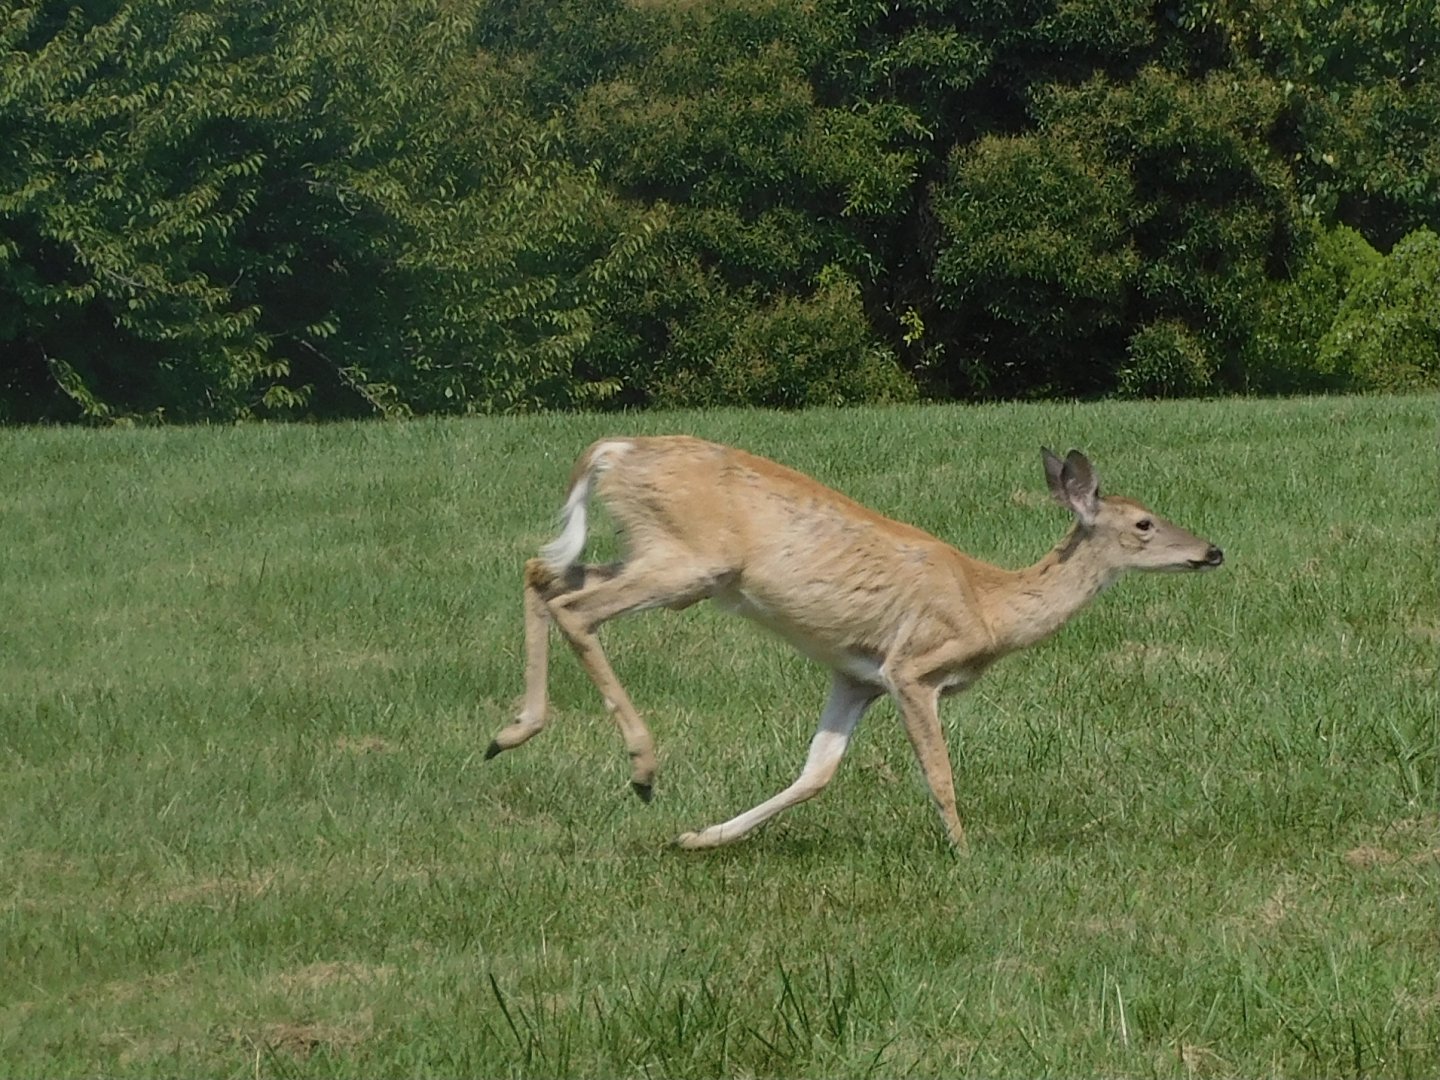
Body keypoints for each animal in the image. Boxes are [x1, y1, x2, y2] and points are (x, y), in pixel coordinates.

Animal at [485, 436, 1224, 851]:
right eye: (1144, 522)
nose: (1212, 551)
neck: (990, 604)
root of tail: (613, 450)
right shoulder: (912, 666)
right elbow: (938, 772)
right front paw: (966, 854)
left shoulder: (857, 675)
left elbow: (817, 771)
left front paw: (699, 837)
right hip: (689, 562)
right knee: (577, 608)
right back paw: (640, 767)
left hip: (658, 555)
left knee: (542, 573)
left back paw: (509, 732)